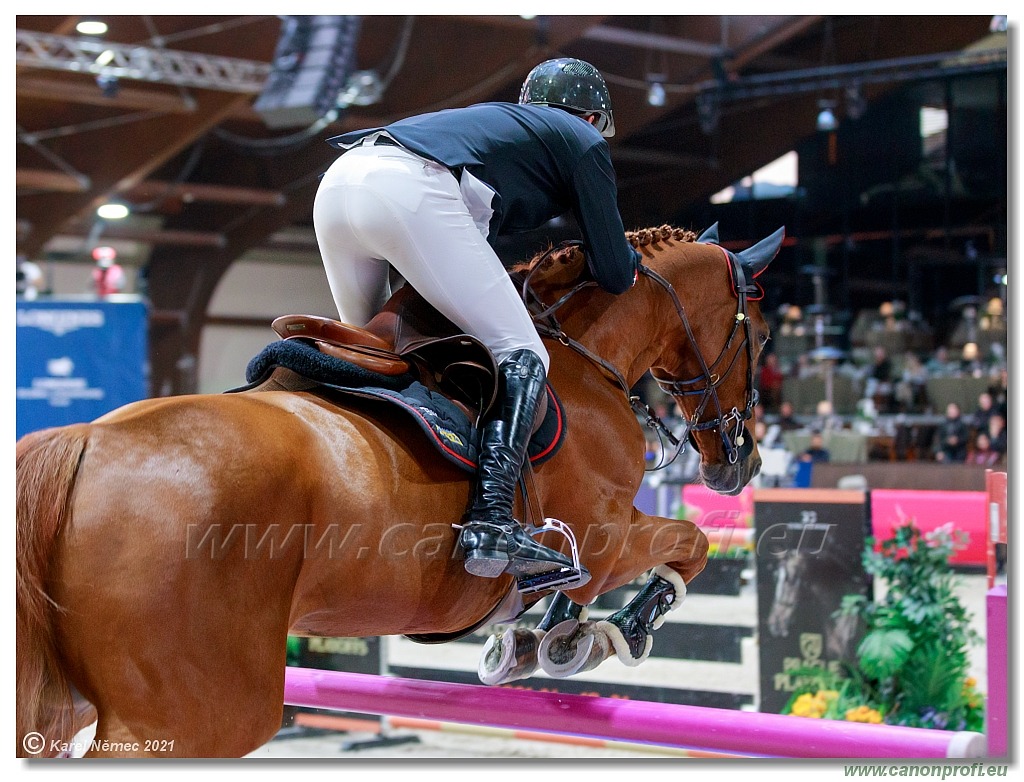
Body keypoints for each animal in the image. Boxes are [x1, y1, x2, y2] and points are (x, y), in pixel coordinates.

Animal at [16, 221, 778, 757]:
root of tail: (83, 442)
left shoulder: (603, 538)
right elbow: (688, 545)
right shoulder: (605, 534)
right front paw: (601, 634)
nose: (740, 463)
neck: (587, 360)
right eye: (765, 338)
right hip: (194, 712)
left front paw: (547, 637)